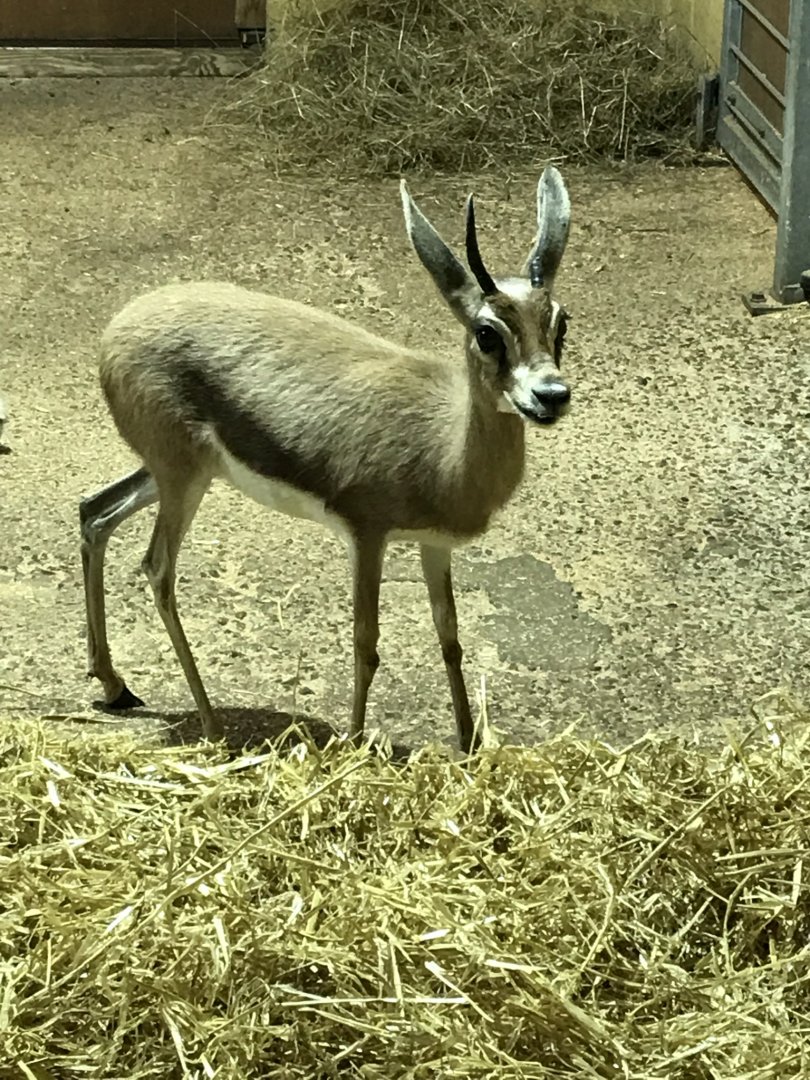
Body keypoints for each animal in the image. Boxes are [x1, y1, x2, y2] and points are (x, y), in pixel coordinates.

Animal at [79, 167, 572, 753]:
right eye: (487, 332)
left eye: (561, 322)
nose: (551, 395)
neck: (445, 448)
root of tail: (116, 327)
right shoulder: (367, 536)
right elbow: (366, 642)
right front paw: (355, 744)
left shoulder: (433, 545)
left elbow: (449, 638)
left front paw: (470, 744)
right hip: (184, 480)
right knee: (157, 569)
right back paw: (212, 727)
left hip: (178, 473)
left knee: (95, 512)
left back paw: (114, 686)